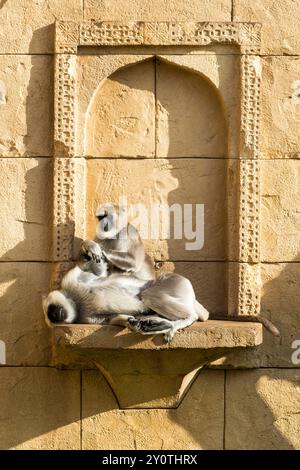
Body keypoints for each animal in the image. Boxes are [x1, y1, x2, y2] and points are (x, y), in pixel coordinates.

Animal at [43, 242, 210, 342]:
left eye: (53, 310)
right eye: (52, 316)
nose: (55, 315)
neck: (77, 302)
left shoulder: (70, 280)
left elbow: (99, 271)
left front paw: (90, 247)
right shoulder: (86, 319)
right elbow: (111, 319)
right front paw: (131, 324)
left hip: (173, 282)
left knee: (149, 295)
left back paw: (182, 320)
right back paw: (158, 324)